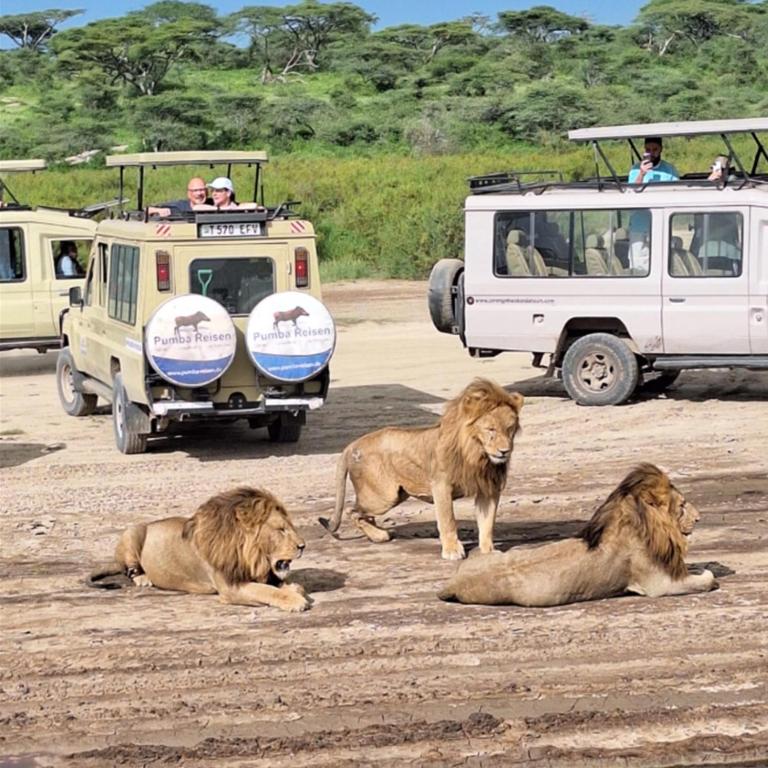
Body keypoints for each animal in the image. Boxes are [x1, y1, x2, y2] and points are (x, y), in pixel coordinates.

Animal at [88, 487, 310, 612]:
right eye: (281, 529)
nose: (303, 546)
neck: (250, 555)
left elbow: (279, 585)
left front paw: (293, 588)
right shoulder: (231, 587)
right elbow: (267, 592)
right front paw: (295, 600)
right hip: (133, 531)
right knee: (130, 569)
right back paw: (143, 578)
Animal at [319, 378, 524, 560]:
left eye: (510, 428)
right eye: (491, 429)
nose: (505, 451)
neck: (477, 454)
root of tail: (352, 444)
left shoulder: (488, 489)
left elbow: (487, 523)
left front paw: (489, 552)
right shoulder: (441, 485)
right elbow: (448, 520)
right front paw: (452, 551)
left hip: (395, 494)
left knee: (362, 513)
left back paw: (378, 533)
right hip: (383, 496)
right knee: (352, 511)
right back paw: (379, 535)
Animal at [438, 464, 718, 606]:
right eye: (682, 505)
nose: (699, 517)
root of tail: (452, 581)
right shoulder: (658, 585)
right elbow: (704, 580)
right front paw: (707, 574)